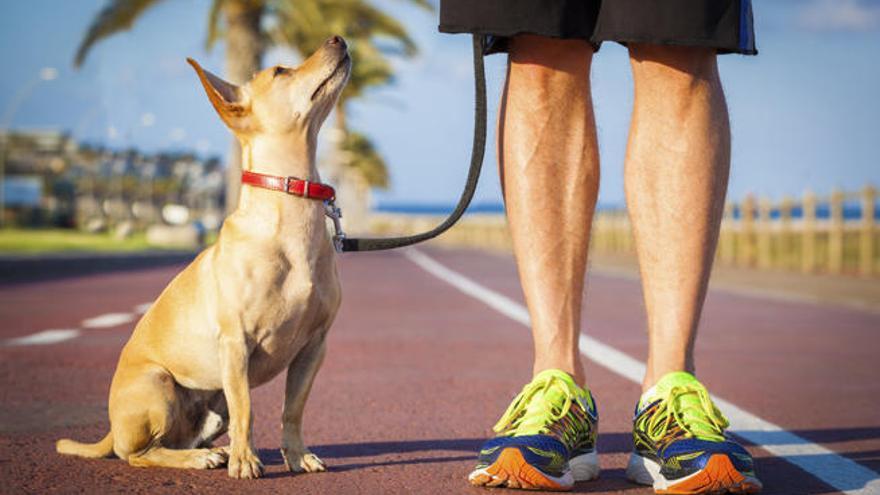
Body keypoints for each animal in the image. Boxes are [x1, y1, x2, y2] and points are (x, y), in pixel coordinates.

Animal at [54, 35, 350, 480]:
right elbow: (248, 410)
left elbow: (292, 410)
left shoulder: (314, 347)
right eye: (280, 71)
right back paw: (203, 457)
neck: (292, 214)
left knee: (178, 440)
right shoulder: (236, 344)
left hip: (212, 405)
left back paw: (215, 451)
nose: (338, 38)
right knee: (141, 453)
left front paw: (297, 456)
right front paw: (246, 461)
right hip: (159, 386)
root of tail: (112, 429)